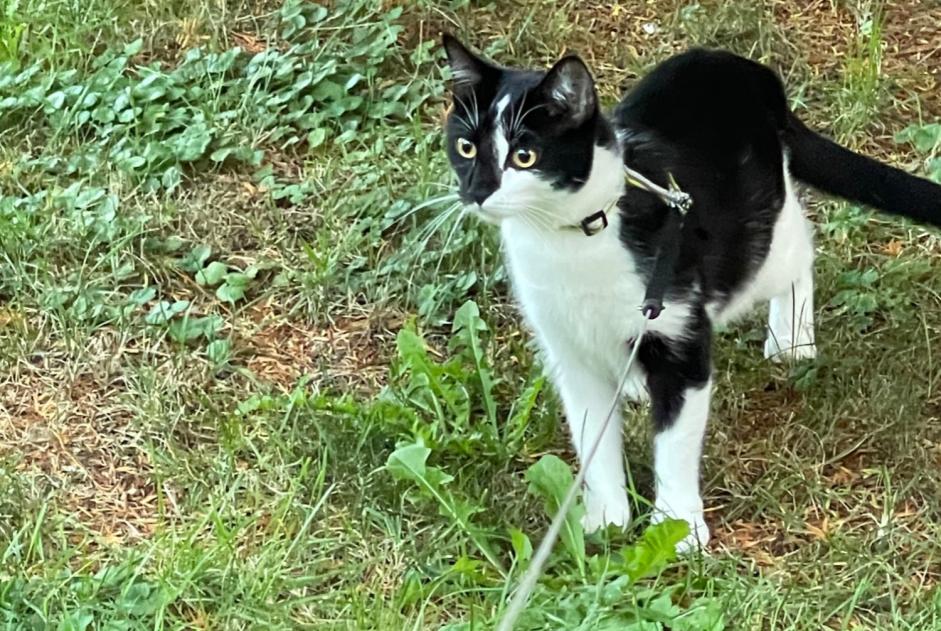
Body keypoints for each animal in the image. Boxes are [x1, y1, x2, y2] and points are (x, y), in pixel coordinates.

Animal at [440, 34, 940, 552]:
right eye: (465, 146)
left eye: (525, 157)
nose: (477, 191)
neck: (572, 238)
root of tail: (752, 72)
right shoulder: (568, 354)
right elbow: (592, 438)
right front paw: (607, 519)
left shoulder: (680, 338)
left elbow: (674, 444)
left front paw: (677, 528)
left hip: (754, 245)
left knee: (800, 244)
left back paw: (792, 340)